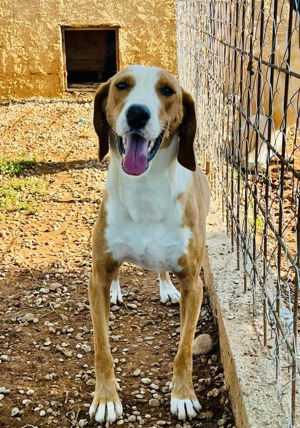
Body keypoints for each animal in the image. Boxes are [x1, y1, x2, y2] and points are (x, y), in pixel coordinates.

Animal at [88, 65, 210, 422]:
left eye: (167, 90)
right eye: (121, 86)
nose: (138, 113)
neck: (144, 190)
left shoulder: (194, 285)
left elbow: (184, 349)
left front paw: (183, 396)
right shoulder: (96, 277)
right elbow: (102, 348)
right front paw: (106, 398)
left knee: (161, 268)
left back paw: (166, 287)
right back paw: (117, 290)